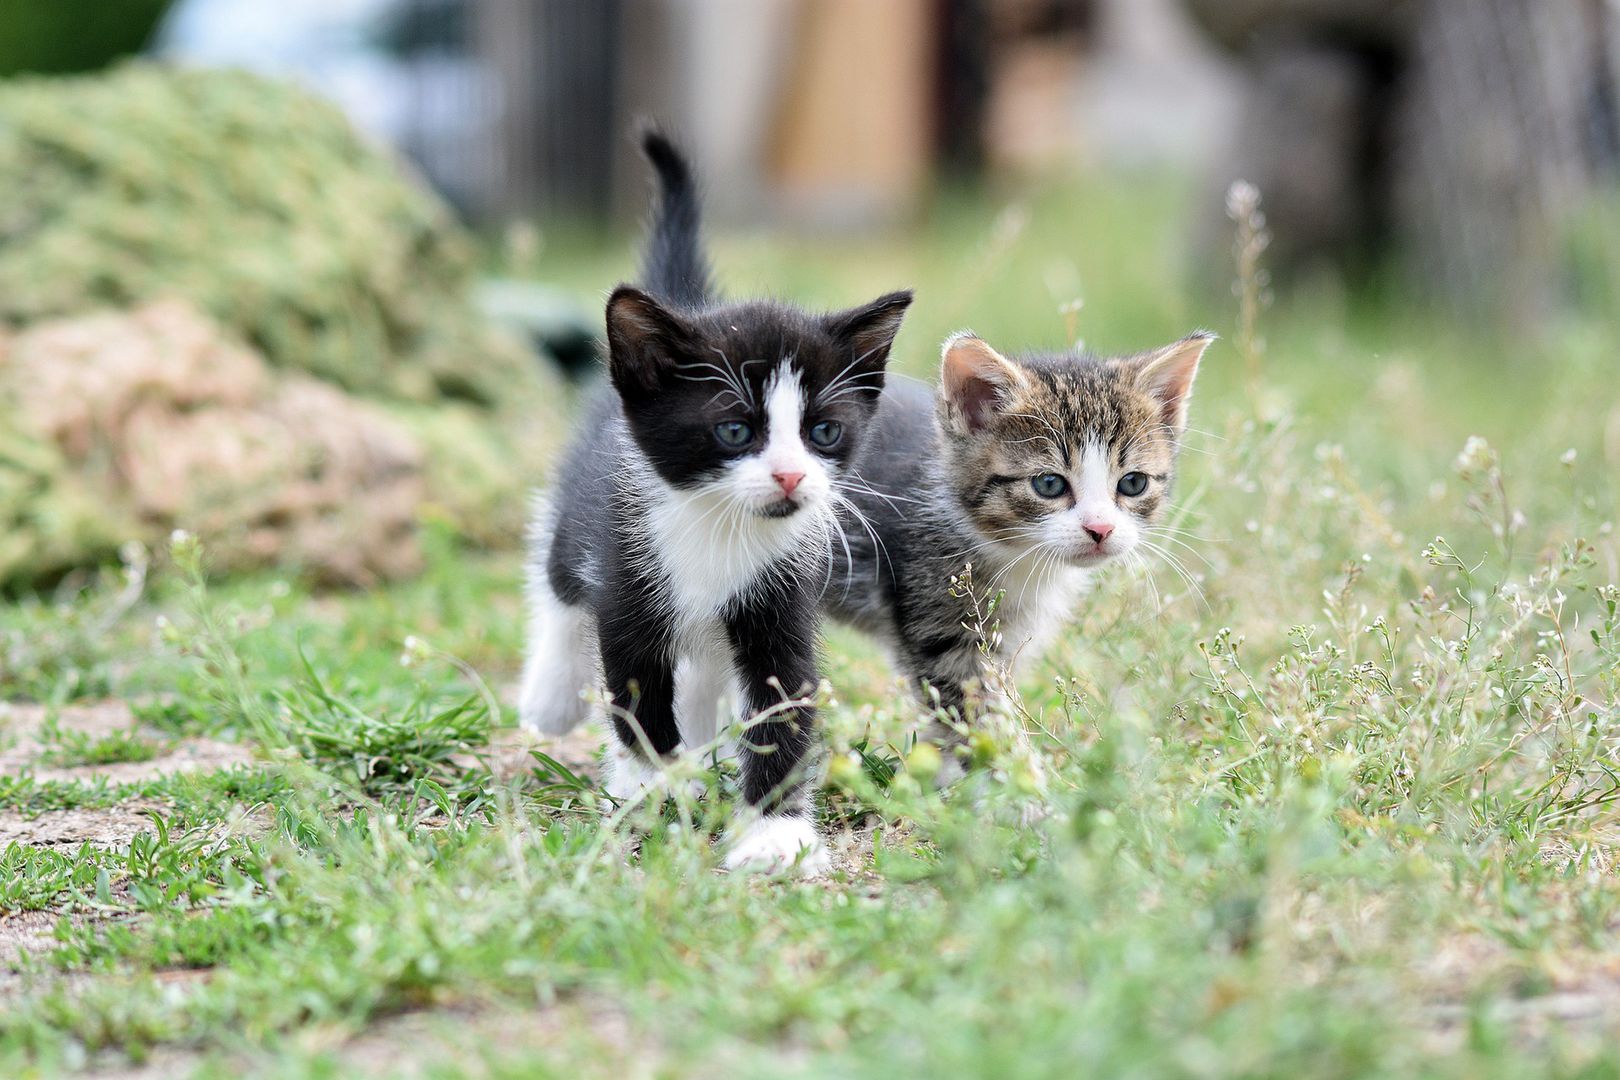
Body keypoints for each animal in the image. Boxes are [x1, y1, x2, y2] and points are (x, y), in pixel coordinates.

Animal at [518, 132, 913, 880]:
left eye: (823, 433)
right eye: (734, 431)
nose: (790, 476)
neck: (718, 531)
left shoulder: (780, 599)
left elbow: (781, 704)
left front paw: (773, 832)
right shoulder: (627, 582)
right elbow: (638, 698)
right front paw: (653, 785)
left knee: (701, 670)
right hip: (580, 524)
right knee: (556, 584)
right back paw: (551, 695)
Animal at [829, 331, 1211, 725]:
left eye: (1133, 483)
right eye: (1049, 484)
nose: (1100, 528)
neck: (1015, 556)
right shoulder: (936, 623)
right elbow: (977, 712)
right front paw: (1003, 744)